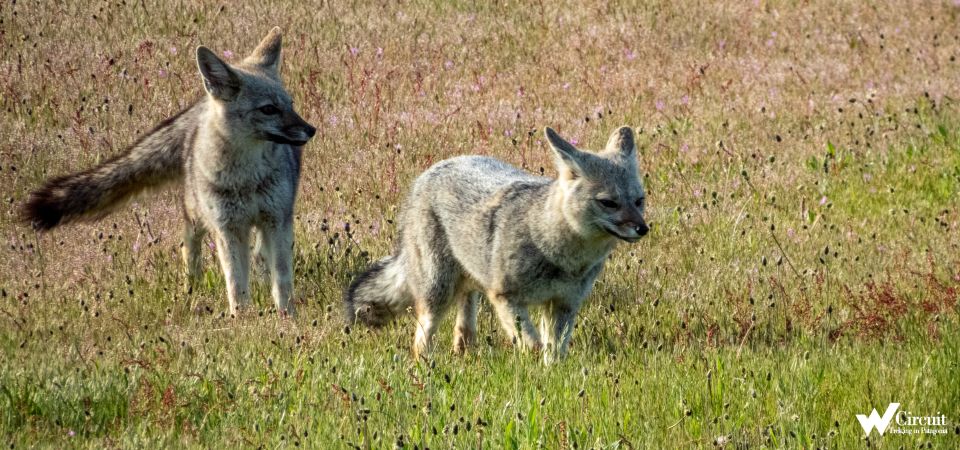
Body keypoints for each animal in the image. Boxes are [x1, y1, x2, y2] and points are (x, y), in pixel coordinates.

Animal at [21, 28, 316, 316]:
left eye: (290, 104)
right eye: (269, 109)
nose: (311, 130)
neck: (247, 178)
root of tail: (198, 109)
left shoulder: (277, 221)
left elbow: (282, 279)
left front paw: (287, 318)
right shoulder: (227, 229)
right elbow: (236, 285)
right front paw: (241, 320)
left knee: (259, 254)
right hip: (198, 217)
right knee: (190, 247)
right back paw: (193, 288)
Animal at [342, 125, 648, 362]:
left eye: (639, 201)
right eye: (609, 203)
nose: (643, 229)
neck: (558, 253)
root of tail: (430, 171)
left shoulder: (563, 304)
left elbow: (555, 353)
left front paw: (551, 376)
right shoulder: (505, 298)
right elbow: (533, 344)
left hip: (469, 285)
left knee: (463, 328)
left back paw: (462, 353)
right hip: (437, 293)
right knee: (420, 339)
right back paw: (425, 367)